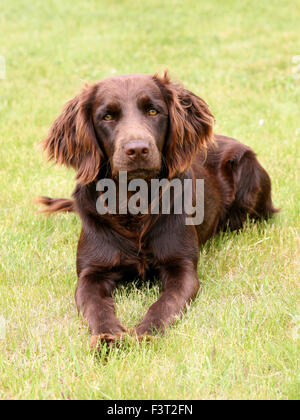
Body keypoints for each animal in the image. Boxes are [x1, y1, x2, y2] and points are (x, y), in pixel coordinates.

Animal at [38, 73, 278, 348]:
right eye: (107, 116)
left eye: (153, 111)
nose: (137, 149)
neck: (134, 201)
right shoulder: (91, 272)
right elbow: (95, 307)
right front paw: (107, 337)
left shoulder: (182, 268)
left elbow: (164, 304)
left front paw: (145, 334)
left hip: (247, 171)